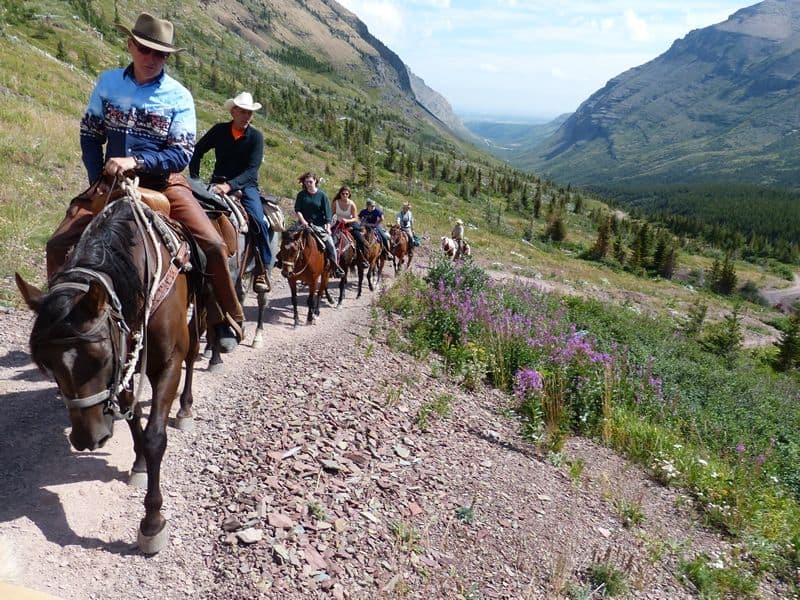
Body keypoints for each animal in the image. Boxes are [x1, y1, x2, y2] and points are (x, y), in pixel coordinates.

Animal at [16, 195, 200, 556]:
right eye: (47, 365)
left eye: (98, 358)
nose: (88, 439)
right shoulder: (125, 358)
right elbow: (134, 415)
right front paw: (139, 464)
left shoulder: (166, 362)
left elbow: (155, 436)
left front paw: (152, 522)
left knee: (197, 348)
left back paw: (185, 407)